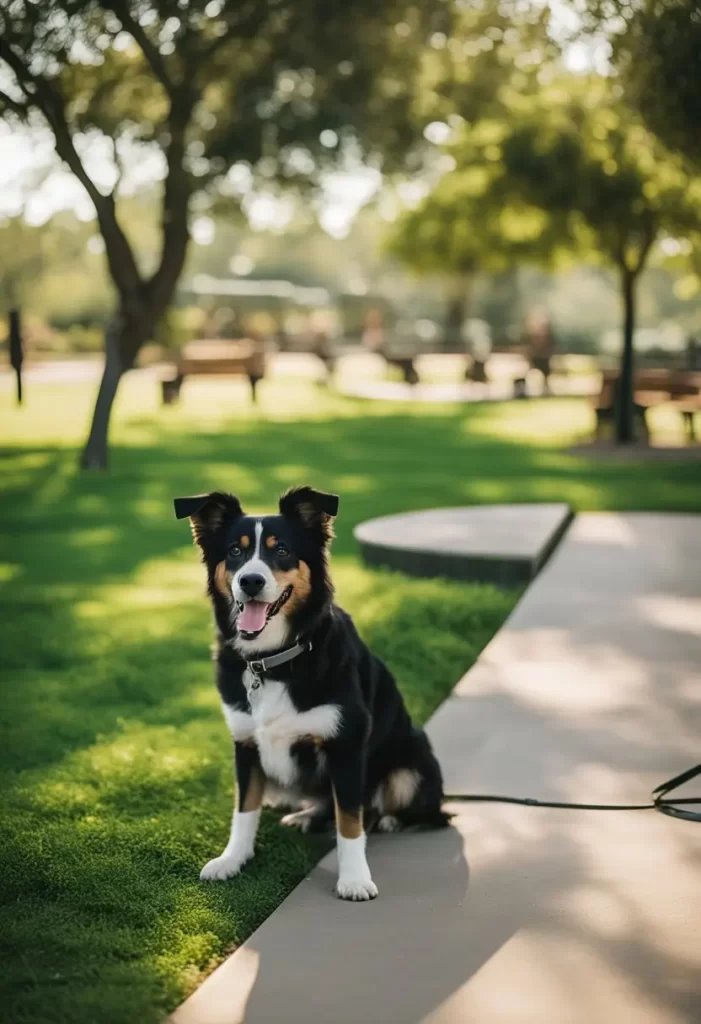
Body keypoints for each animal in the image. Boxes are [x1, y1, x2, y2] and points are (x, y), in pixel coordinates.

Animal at [176, 483, 448, 901]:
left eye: (282, 550)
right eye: (235, 551)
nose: (250, 581)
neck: (272, 661)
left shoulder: (346, 745)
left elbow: (350, 821)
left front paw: (354, 879)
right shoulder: (246, 743)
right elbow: (244, 809)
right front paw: (233, 859)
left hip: (411, 764)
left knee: (404, 810)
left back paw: (388, 820)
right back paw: (306, 815)